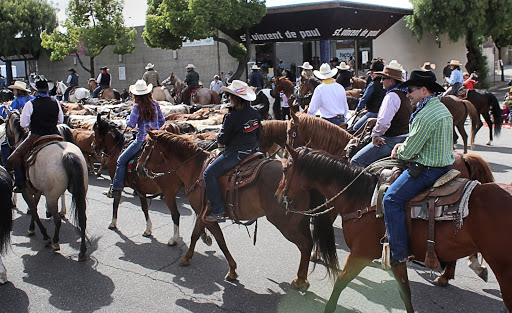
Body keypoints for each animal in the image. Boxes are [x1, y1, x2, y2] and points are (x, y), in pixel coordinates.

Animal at [4, 109, 88, 258]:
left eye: (6, 124)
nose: (7, 142)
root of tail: (67, 154)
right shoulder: (36, 189)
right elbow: (35, 207)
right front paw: (32, 228)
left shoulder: (26, 190)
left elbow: (33, 209)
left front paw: (43, 235)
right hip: (80, 191)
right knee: (82, 219)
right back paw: (82, 251)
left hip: (51, 197)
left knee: (57, 219)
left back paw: (55, 242)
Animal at [134, 129, 338, 288]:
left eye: (145, 148)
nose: (138, 169)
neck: (196, 168)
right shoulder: (204, 214)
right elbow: (210, 237)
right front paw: (230, 268)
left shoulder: (204, 213)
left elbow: (208, 238)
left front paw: (188, 258)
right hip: (299, 220)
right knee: (309, 242)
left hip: (285, 223)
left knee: (305, 244)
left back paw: (300, 280)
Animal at [276, 146, 512, 312]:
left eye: (285, 168)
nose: (278, 197)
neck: (360, 199)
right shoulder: (395, 255)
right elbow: (405, 292)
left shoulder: (361, 253)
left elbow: (340, 282)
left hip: (504, 270)